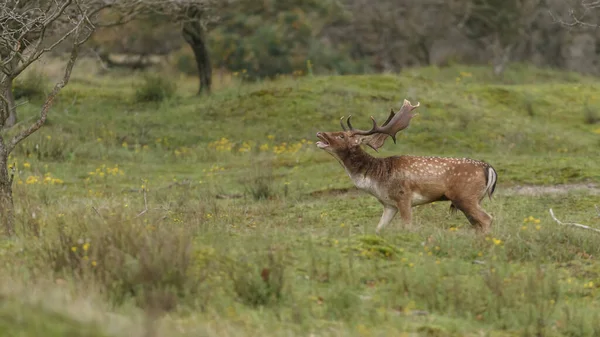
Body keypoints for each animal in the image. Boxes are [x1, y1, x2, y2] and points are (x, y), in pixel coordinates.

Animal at [314, 97, 496, 234]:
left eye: (341, 136)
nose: (320, 133)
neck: (377, 179)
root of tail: (488, 168)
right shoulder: (389, 204)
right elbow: (378, 229)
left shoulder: (404, 197)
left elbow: (407, 226)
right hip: (470, 199)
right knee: (478, 223)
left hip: (465, 196)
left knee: (487, 219)